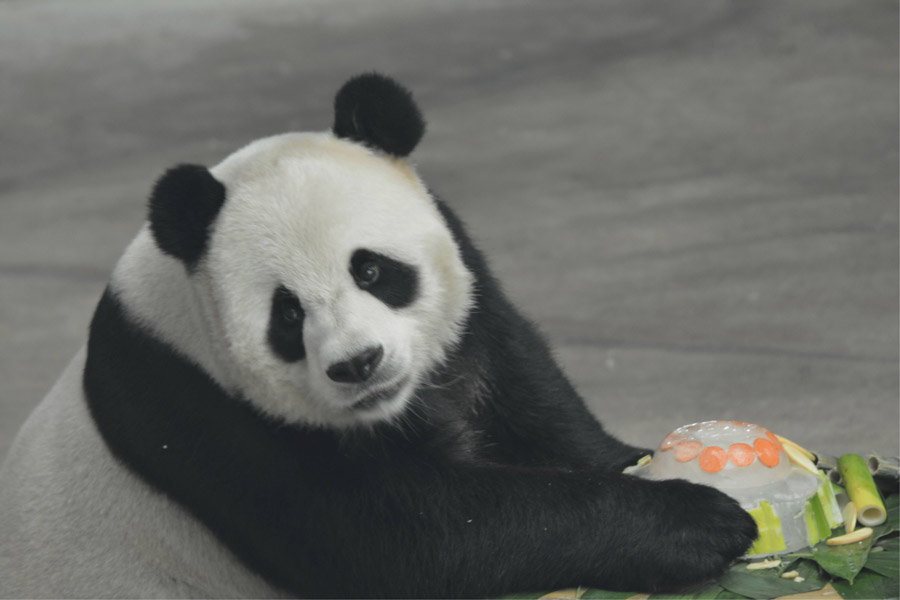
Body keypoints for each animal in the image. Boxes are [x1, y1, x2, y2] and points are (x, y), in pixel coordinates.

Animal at [0, 74, 760, 596]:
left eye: (371, 270)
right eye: (287, 315)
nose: (359, 364)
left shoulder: (474, 315)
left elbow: (536, 413)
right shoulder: (200, 416)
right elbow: (404, 540)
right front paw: (699, 522)